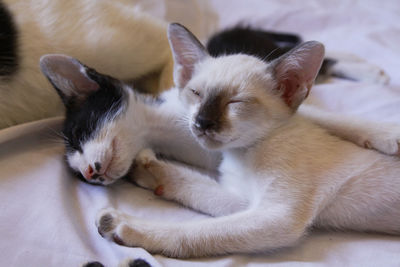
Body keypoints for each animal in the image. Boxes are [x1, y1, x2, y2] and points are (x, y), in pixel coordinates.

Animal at [87, 23, 400, 260]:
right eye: (196, 94)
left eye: (235, 102)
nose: (202, 122)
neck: (243, 153)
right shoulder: (244, 202)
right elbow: (197, 188)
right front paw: (147, 171)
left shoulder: (278, 215)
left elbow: (195, 232)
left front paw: (124, 226)